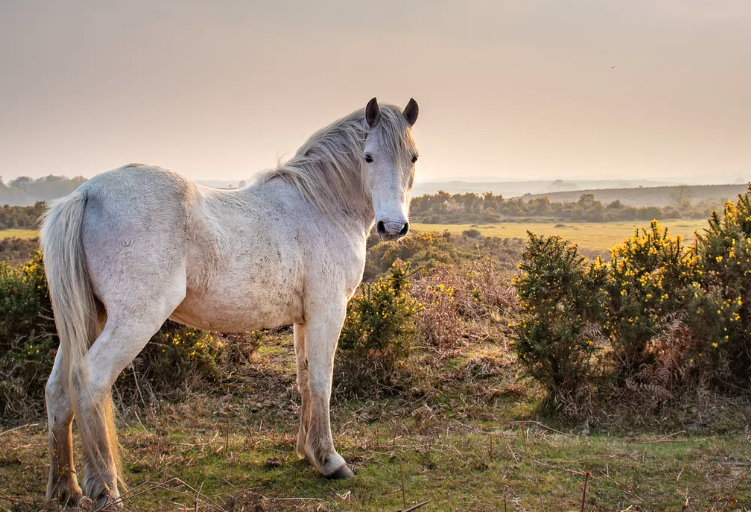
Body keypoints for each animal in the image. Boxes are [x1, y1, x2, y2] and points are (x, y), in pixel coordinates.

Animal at [39, 98, 418, 506]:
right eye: (368, 156)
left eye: (412, 157)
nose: (392, 227)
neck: (320, 204)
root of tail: (86, 193)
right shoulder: (328, 311)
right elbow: (321, 381)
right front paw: (330, 461)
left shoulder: (303, 318)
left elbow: (303, 380)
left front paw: (307, 452)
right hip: (134, 320)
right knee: (89, 381)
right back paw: (106, 491)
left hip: (89, 318)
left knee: (59, 391)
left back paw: (65, 489)